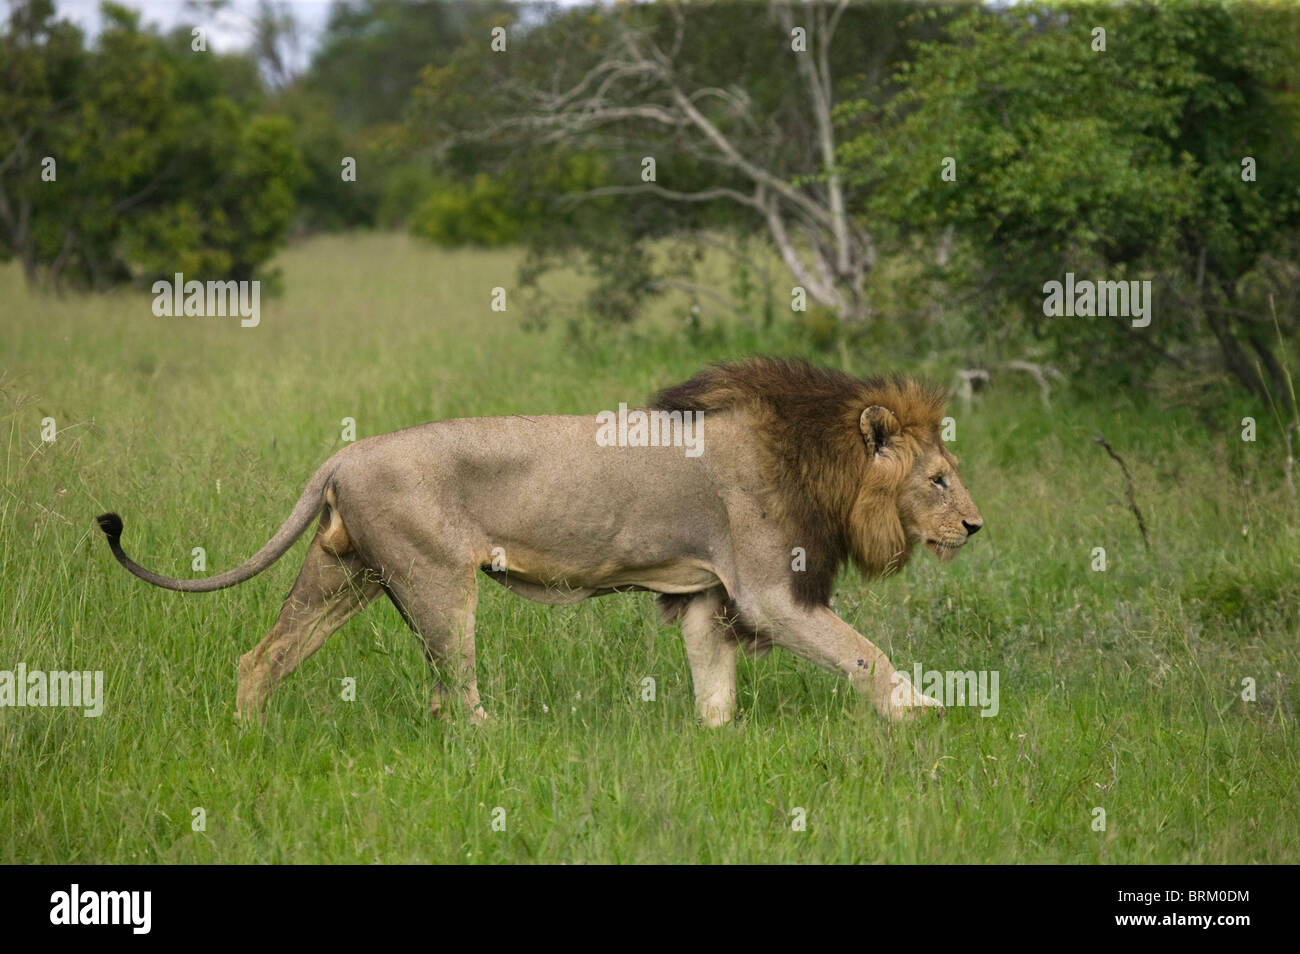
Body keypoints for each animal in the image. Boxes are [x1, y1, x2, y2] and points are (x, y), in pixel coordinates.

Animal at [94, 358, 982, 722]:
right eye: (940, 479)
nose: (976, 525)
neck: (817, 460)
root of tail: (341, 455)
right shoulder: (770, 590)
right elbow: (865, 653)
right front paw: (922, 715)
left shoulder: (707, 593)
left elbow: (715, 684)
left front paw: (713, 742)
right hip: (435, 580)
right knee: (455, 694)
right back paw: (494, 738)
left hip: (344, 574)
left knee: (263, 656)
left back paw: (248, 736)